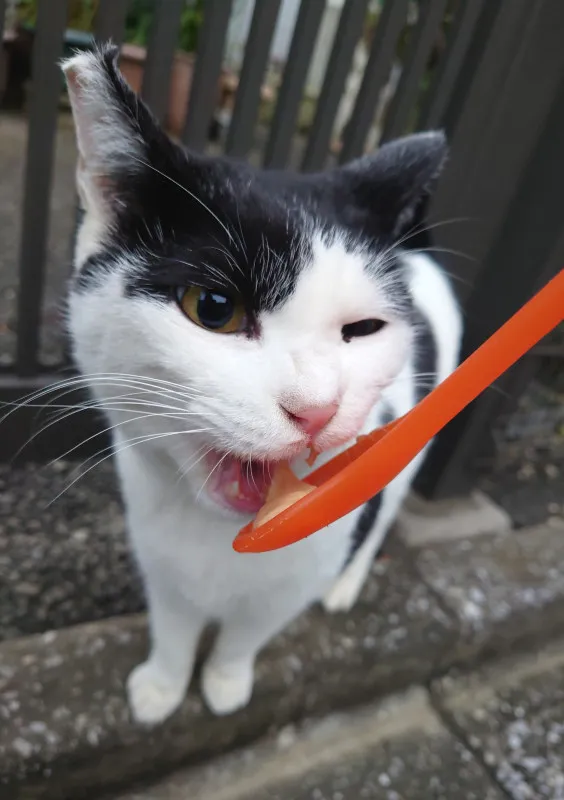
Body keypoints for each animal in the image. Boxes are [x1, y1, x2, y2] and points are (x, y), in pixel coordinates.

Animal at [61, 45, 460, 724]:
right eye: (213, 307)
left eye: (363, 329)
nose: (318, 410)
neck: (223, 540)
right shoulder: (160, 564)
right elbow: (173, 626)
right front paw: (163, 687)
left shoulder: (290, 585)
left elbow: (246, 634)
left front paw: (225, 683)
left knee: (384, 514)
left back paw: (347, 586)